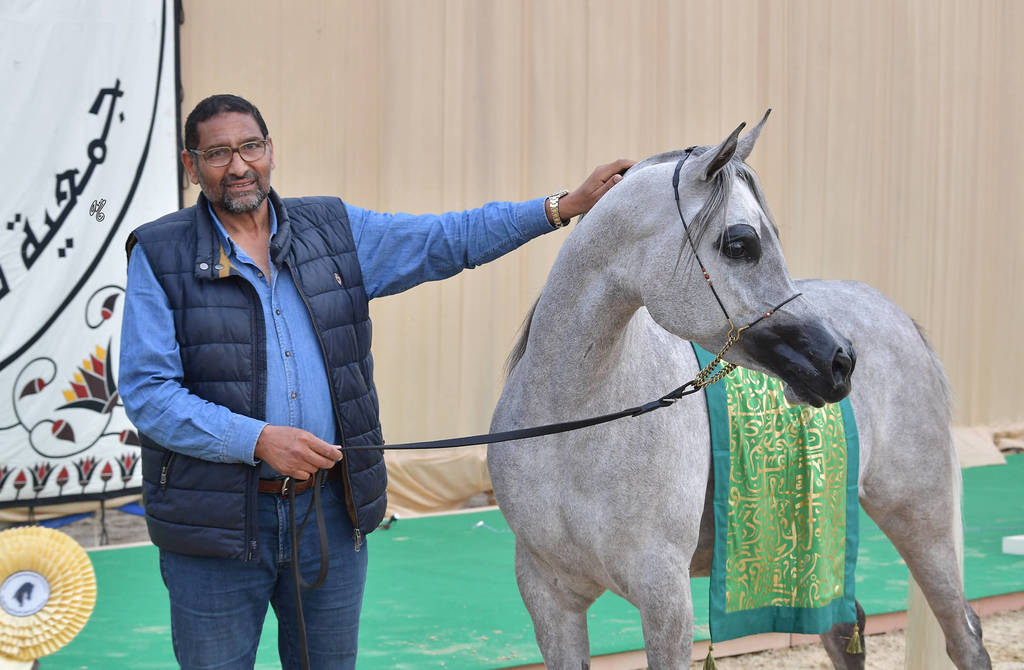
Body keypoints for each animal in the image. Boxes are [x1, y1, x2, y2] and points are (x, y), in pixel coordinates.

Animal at [487, 114, 991, 669]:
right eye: (740, 244)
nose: (839, 361)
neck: (575, 428)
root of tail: (897, 316)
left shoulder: (664, 599)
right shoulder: (550, 598)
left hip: (921, 520)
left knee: (963, 634)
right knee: (845, 628)